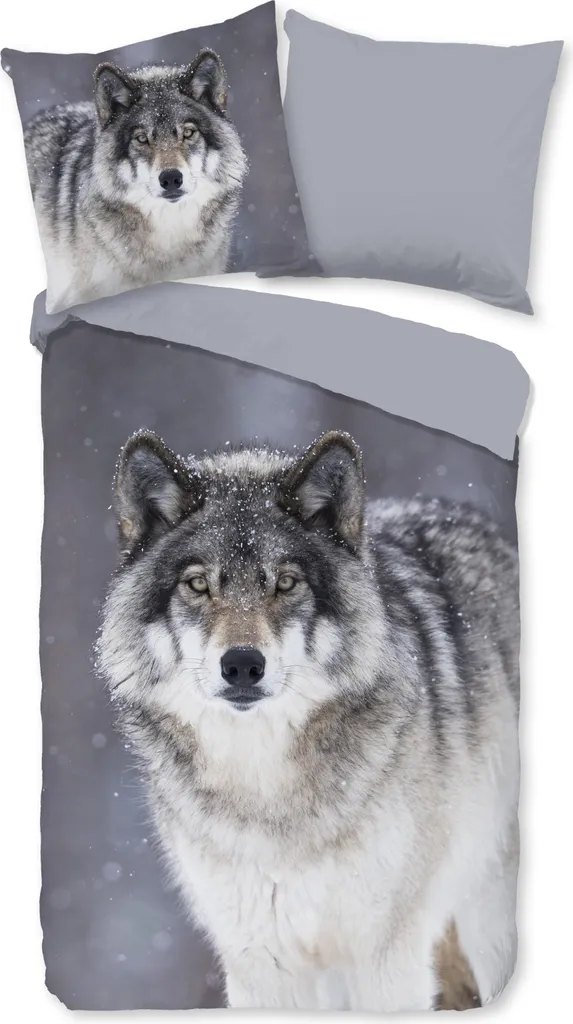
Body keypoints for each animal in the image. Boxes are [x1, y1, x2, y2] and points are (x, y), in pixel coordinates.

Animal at [97, 428, 520, 1011]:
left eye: (285, 583)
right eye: (199, 585)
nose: (242, 664)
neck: (265, 791)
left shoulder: (386, 957)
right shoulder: (261, 964)